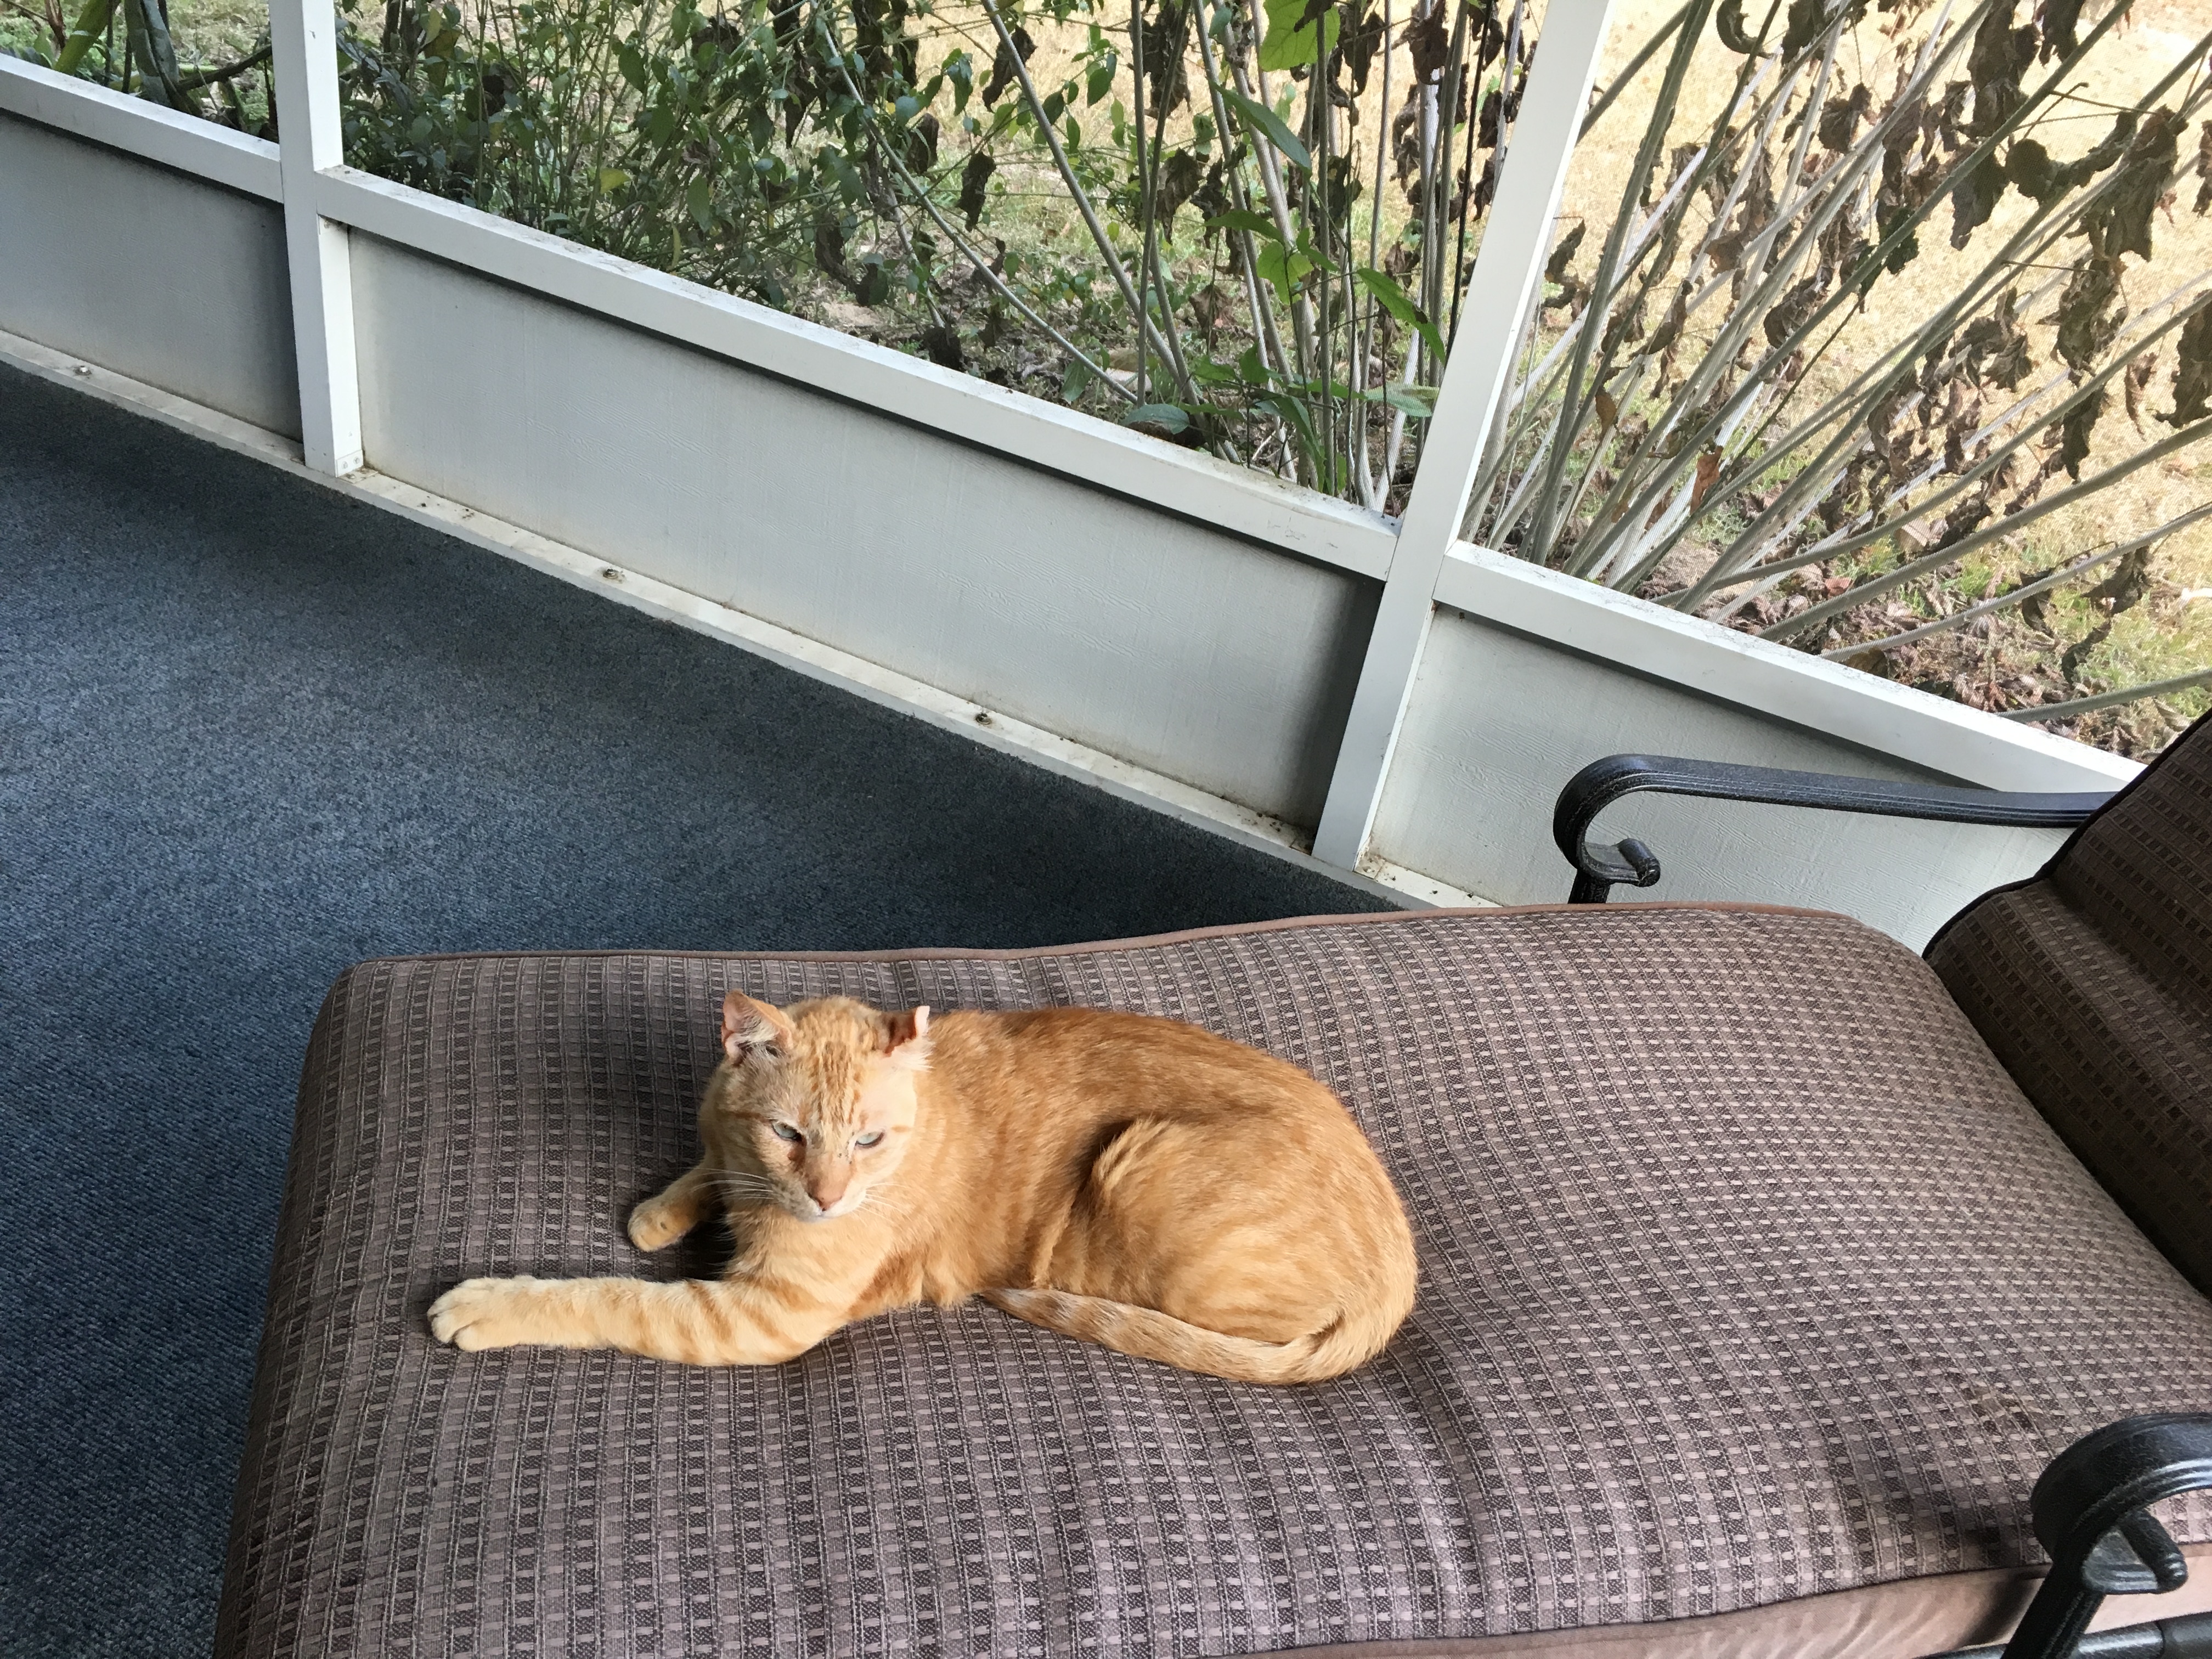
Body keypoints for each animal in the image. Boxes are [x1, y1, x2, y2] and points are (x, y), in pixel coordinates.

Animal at [428, 990, 1418, 1383]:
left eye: (868, 1139)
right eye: (790, 1133)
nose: (827, 1198)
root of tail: (1402, 1267)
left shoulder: (761, 1316)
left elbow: (608, 1298)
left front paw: (493, 1304)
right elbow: (706, 1166)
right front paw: (661, 1210)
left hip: (1144, 1175)